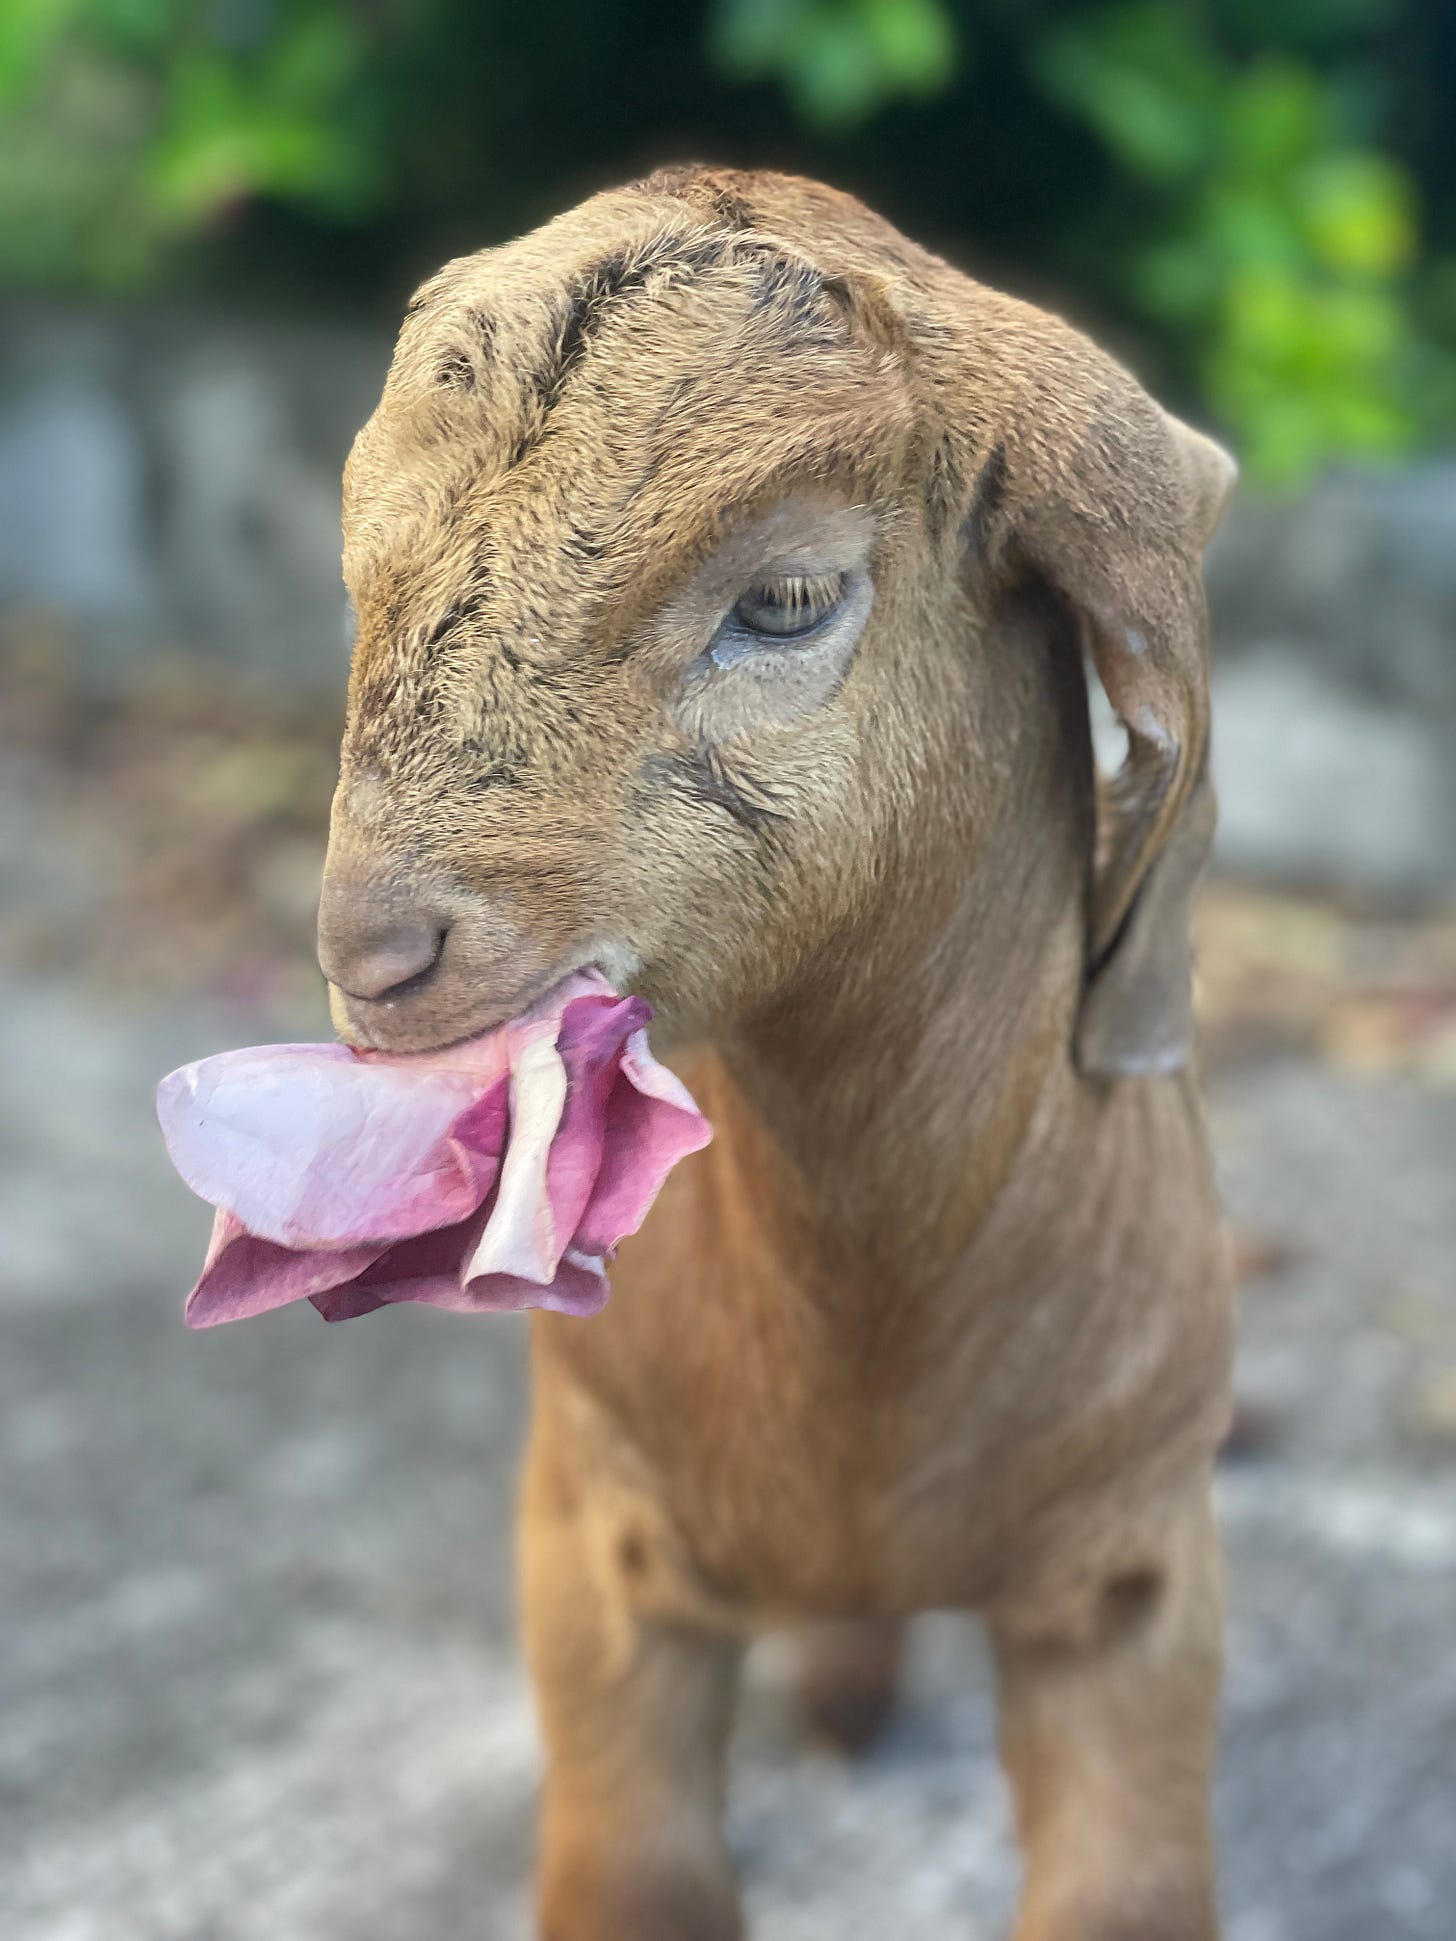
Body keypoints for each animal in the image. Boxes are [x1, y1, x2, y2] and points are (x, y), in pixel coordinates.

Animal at [318, 165, 1237, 1941]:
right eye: (362, 578)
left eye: (790, 599)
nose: (369, 953)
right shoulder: (593, 1534)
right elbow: (633, 1866)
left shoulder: (1136, 1580)